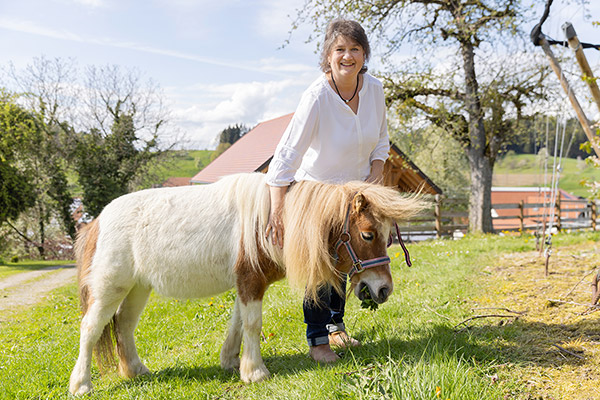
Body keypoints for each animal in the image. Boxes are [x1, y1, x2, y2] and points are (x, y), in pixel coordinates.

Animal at [69, 172, 426, 394]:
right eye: (367, 235)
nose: (383, 289)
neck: (272, 221)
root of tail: (96, 221)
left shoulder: (246, 285)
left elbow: (238, 323)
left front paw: (230, 361)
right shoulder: (250, 281)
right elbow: (252, 325)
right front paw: (254, 371)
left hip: (137, 289)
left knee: (124, 326)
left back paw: (136, 369)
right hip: (110, 289)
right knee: (90, 329)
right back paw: (81, 384)